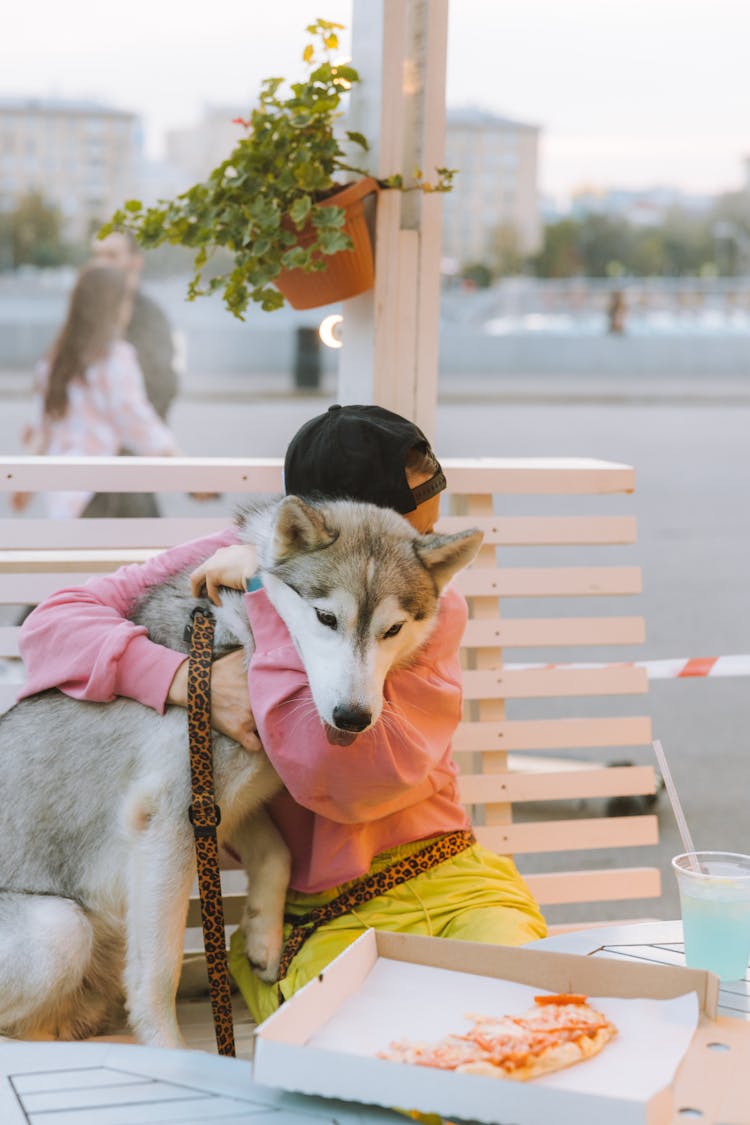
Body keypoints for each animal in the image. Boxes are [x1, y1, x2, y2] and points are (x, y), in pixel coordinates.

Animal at [0, 497, 481, 1048]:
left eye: (393, 630)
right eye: (326, 617)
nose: (353, 718)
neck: (241, 641)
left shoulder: (225, 806)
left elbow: (278, 856)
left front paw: (262, 939)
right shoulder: (170, 824)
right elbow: (157, 973)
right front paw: (170, 1050)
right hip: (58, 929)